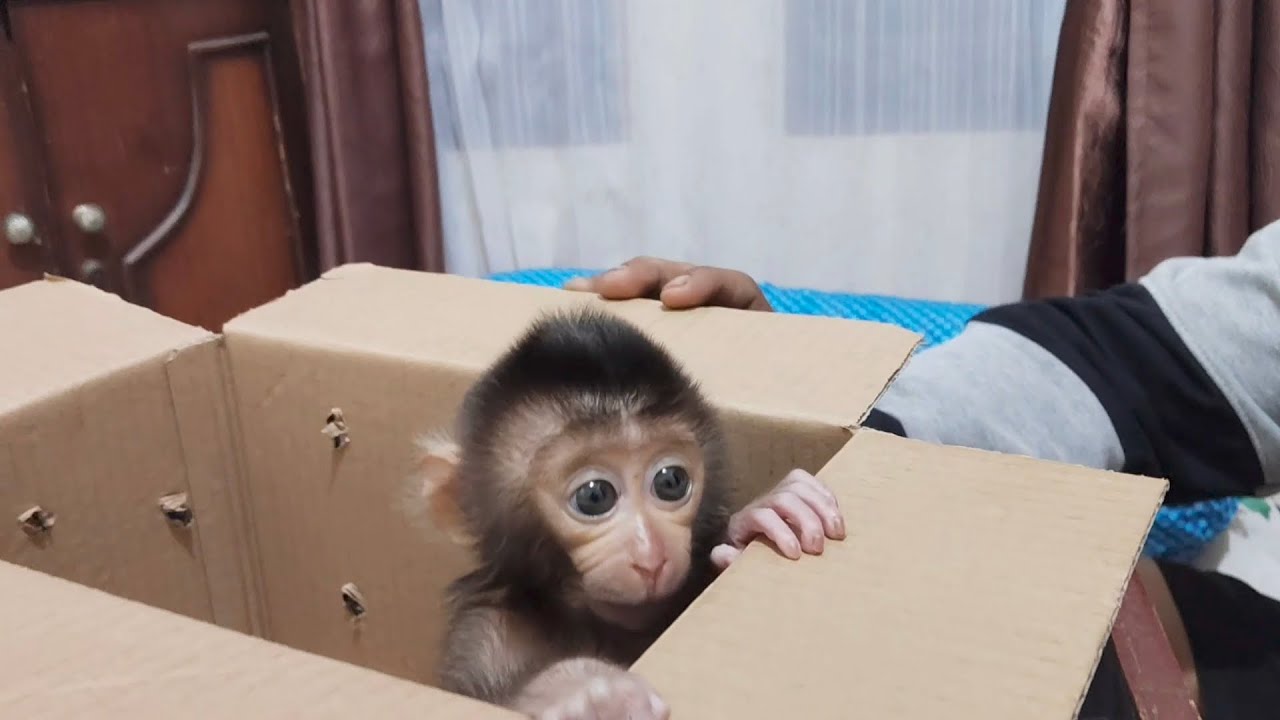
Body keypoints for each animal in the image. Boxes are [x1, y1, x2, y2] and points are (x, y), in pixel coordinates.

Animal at [411, 306, 846, 720]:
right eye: (594, 496)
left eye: (671, 482)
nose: (650, 554)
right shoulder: (486, 632)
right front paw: (579, 692)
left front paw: (757, 518)